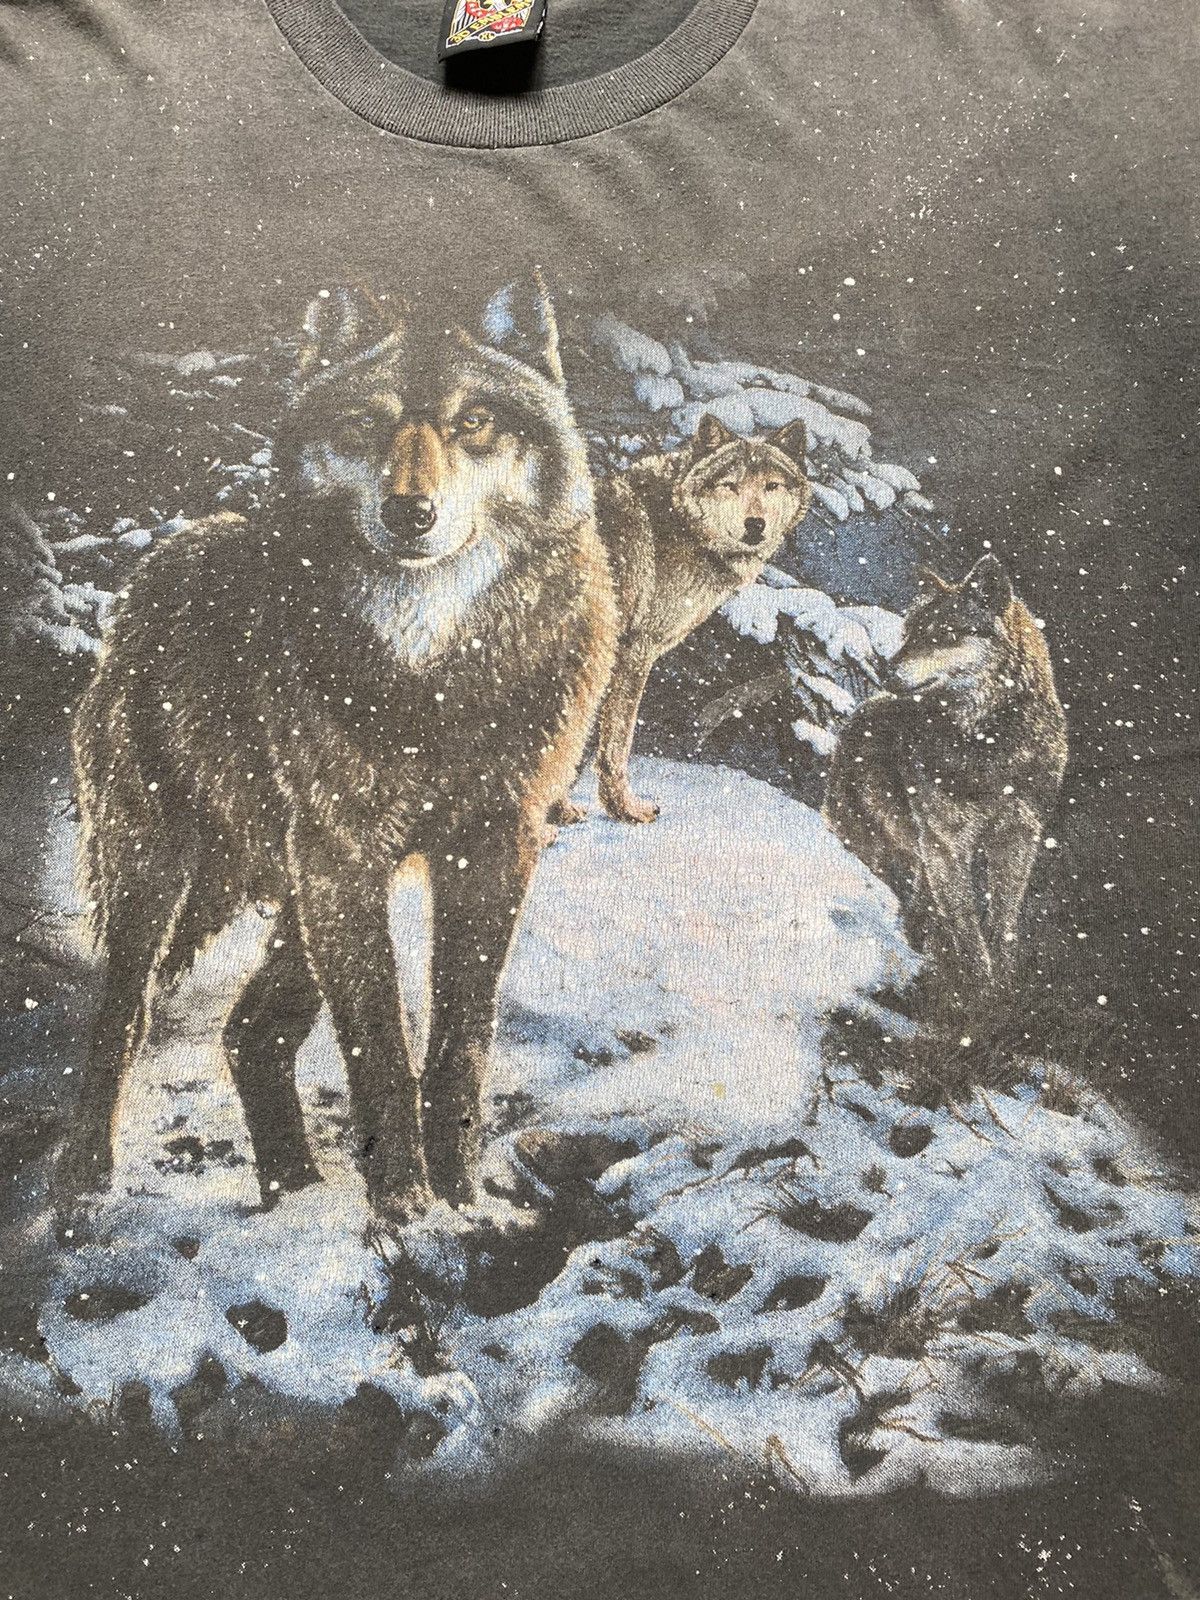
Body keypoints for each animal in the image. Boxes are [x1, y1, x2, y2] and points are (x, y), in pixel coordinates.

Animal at [58, 276, 618, 1226]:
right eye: (363, 425)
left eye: (474, 423)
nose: (409, 511)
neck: (432, 674)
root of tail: (155, 571)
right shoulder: (344, 853)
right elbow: (382, 1048)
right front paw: (406, 1208)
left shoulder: (496, 845)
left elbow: (461, 1042)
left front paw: (458, 1202)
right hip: (167, 876)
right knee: (120, 1020)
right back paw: (87, 1184)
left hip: (295, 888)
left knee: (250, 1030)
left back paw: (293, 1193)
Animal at [579, 413, 811, 824]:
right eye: (730, 485)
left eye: (772, 486)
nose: (755, 525)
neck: (679, 524)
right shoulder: (633, 652)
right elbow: (615, 743)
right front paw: (624, 809)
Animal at [823, 555, 1067, 1002]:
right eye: (908, 634)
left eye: (944, 634)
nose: (884, 671)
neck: (990, 744)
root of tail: (861, 711)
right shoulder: (946, 846)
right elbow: (968, 930)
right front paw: (980, 995)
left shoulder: (1019, 840)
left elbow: (1002, 924)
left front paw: (1003, 991)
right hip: (877, 849)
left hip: (922, 857)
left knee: (922, 907)